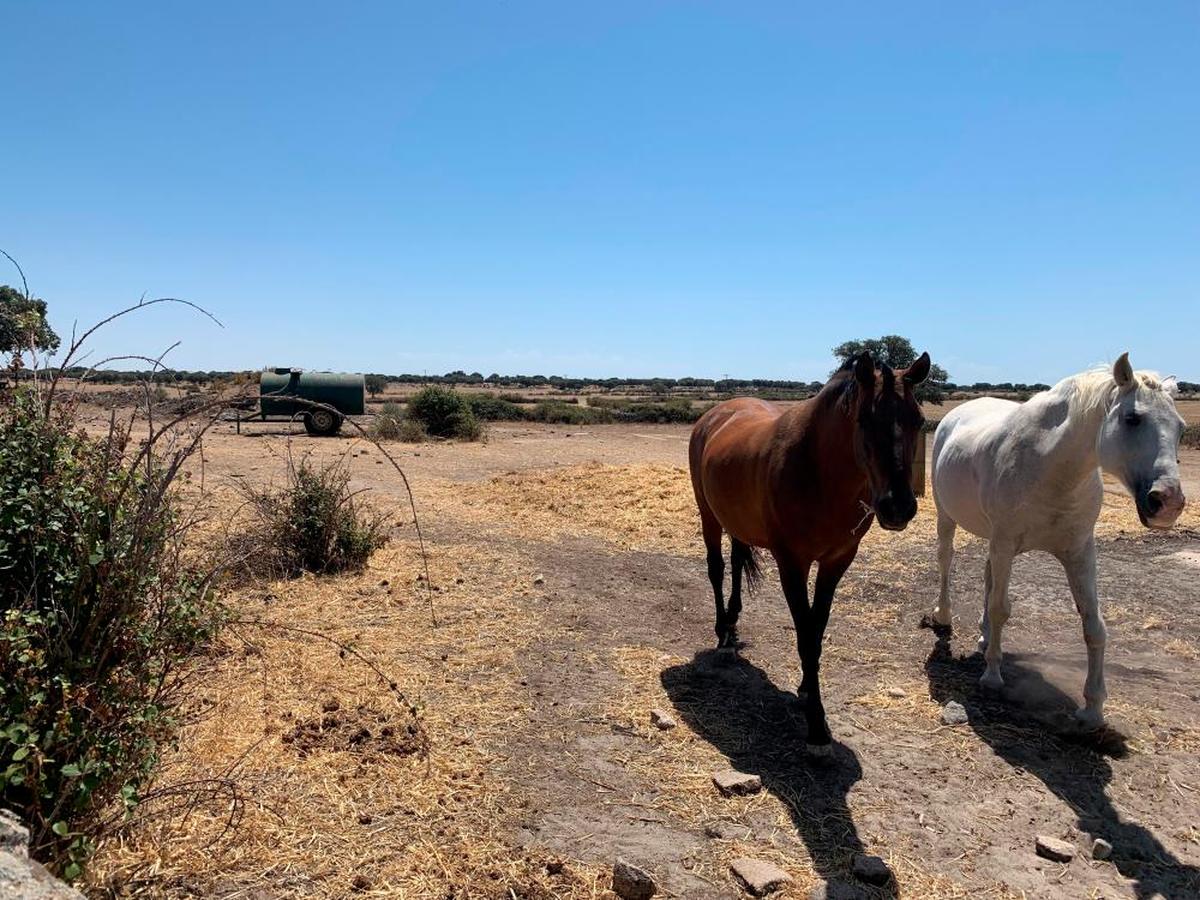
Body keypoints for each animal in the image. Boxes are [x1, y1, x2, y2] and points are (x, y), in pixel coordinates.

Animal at [691, 350, 931, 753]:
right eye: (865, 419)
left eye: (919, 420)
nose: (898, 506)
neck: (818, 471)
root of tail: (716, 414)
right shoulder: (792, 564)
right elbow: (805, 636)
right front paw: (817, 725)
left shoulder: (836, 562)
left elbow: (816, 632)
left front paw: (807, 687)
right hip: (709, 515)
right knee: (716, 568)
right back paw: (722, 632)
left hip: (737, 522)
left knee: (737, 563)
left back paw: (733, 625)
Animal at [921, 352, 1185, 724]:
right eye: (1132, 419)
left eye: (1180, 427)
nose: (1169, 502)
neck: (1051, 466)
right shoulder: (1005, 544)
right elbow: (1001, 608)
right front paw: (992, 676)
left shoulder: (1078, 551)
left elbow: (1093, 625)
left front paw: (1093, 709)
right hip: (949, 518)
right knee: (946, 560)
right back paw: (944, 615)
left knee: (988, 578)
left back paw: (985, 638)